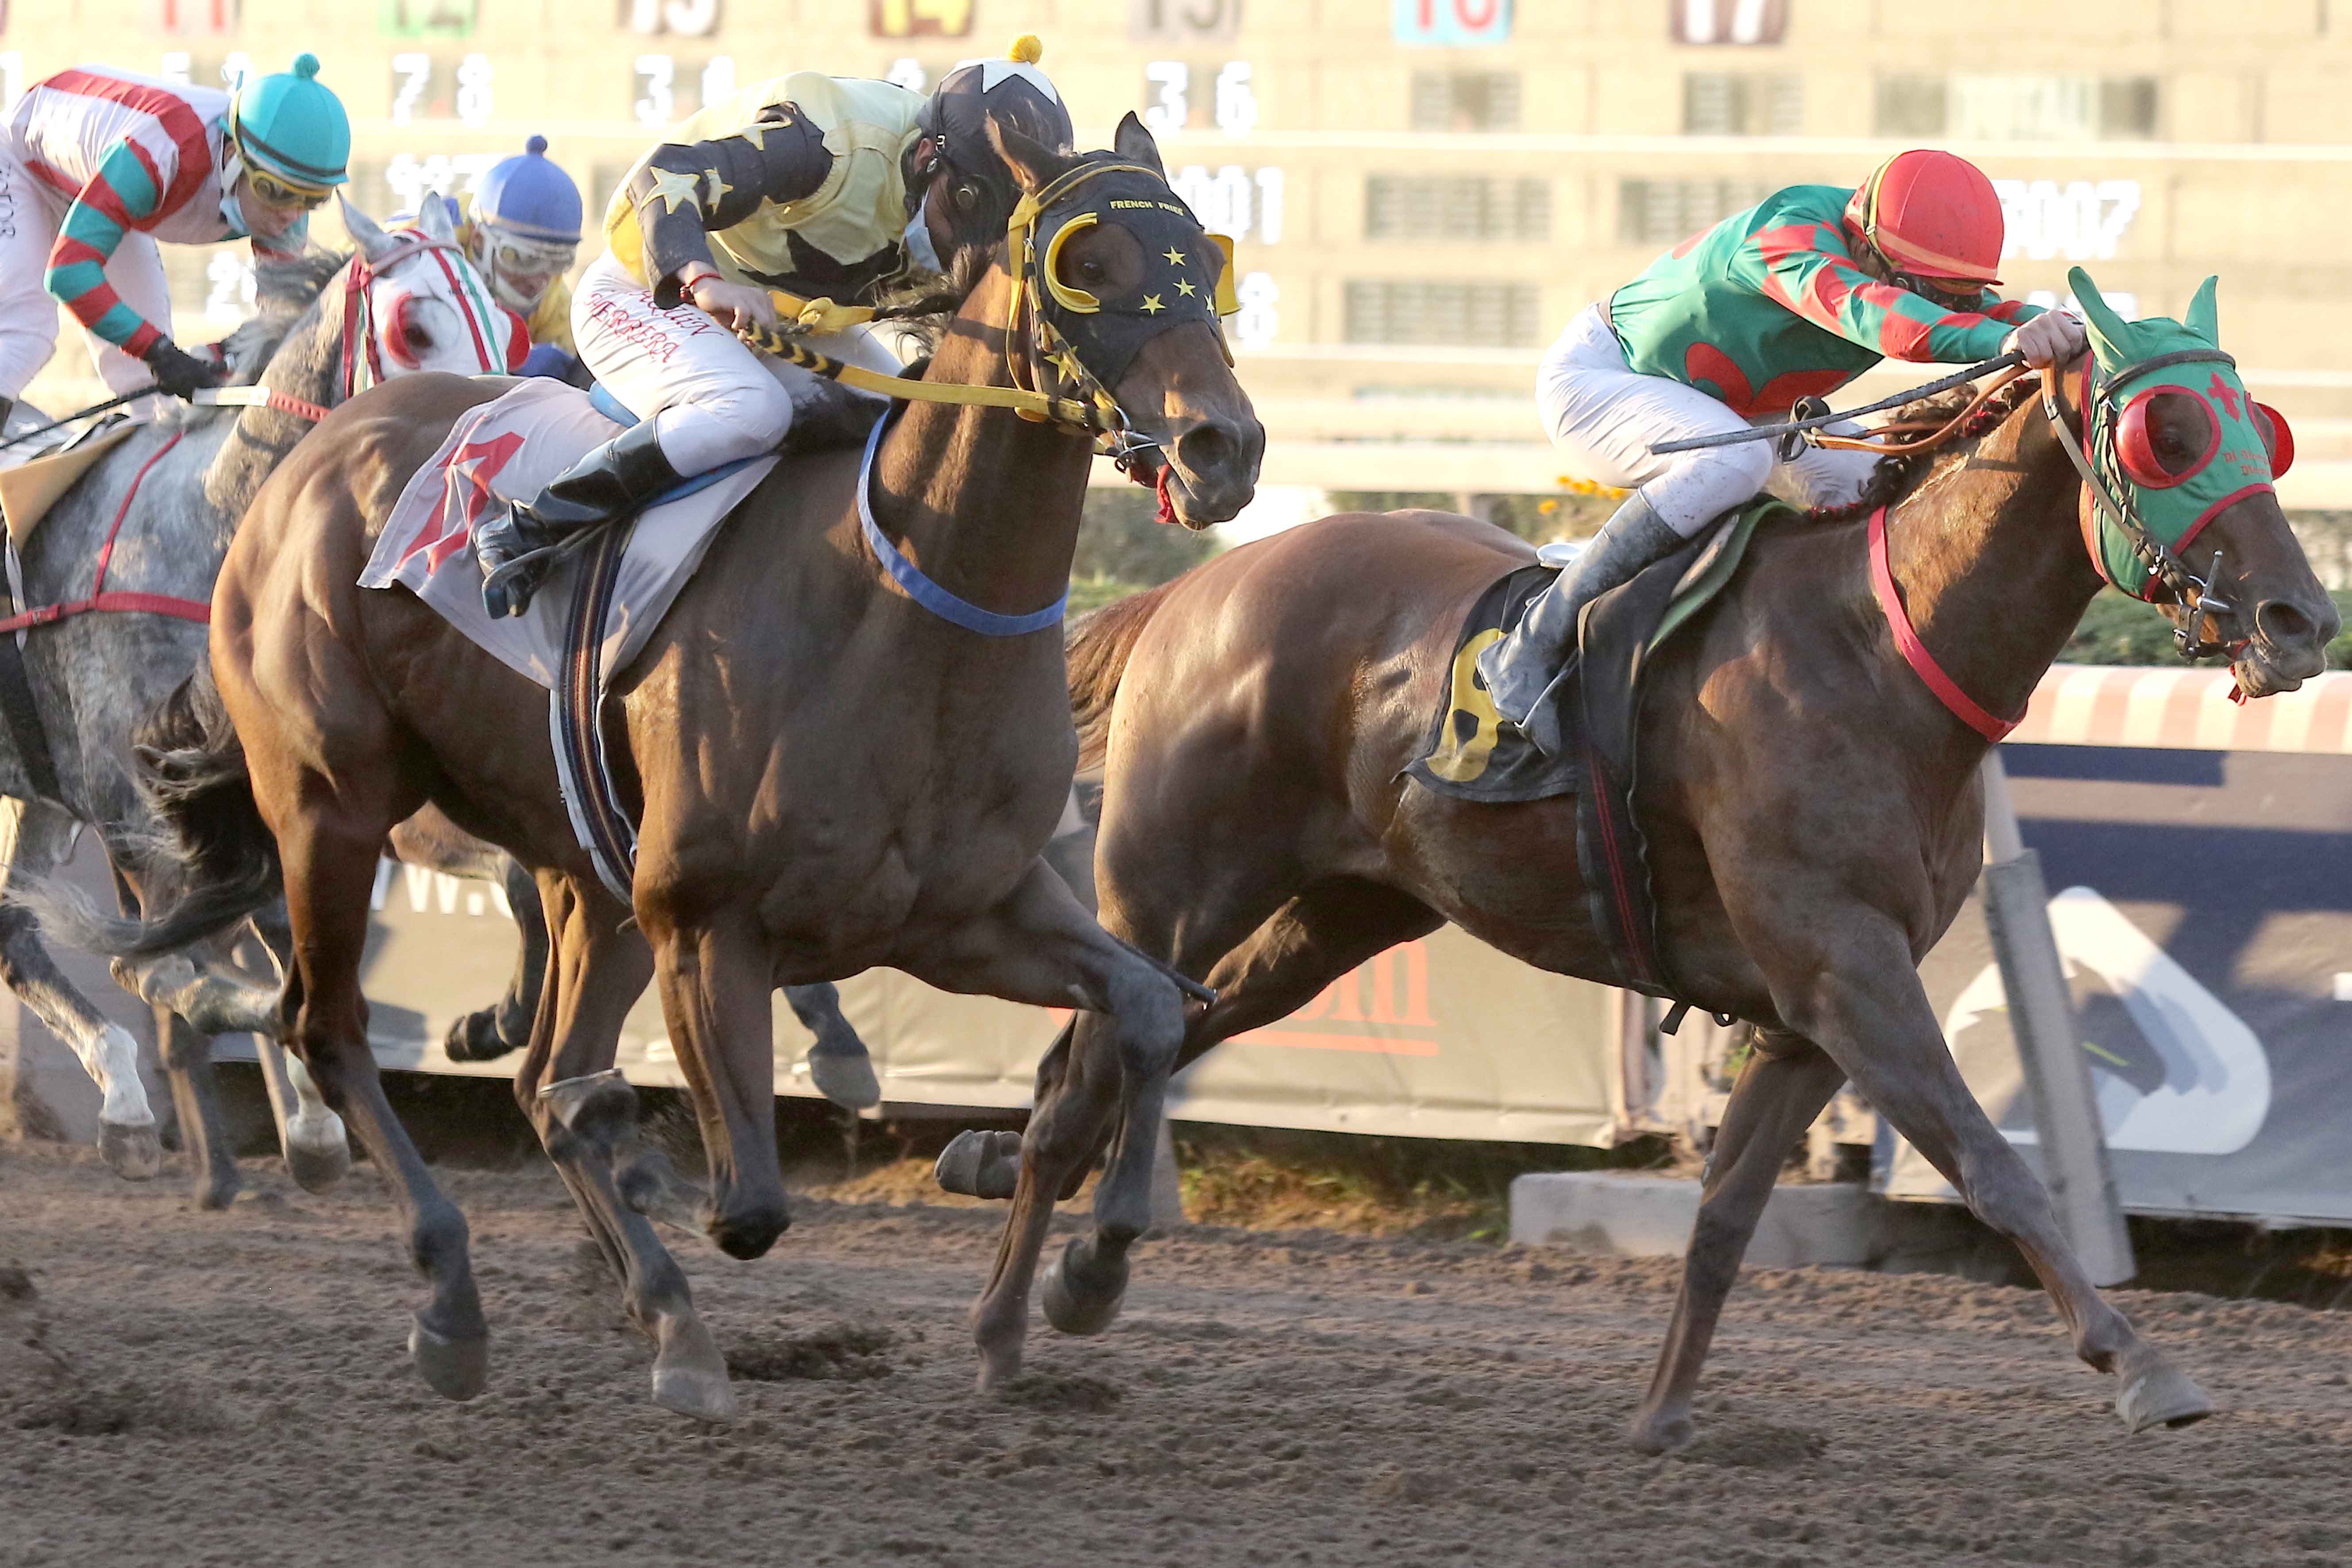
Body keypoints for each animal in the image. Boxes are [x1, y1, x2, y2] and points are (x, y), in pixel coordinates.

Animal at [0, 198, 523, 1206]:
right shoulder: (143, 824)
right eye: (415, 327)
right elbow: (194, 970)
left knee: (16, 922)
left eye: (507, 321)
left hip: (45, 792)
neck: (206, 536)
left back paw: (127, 1109)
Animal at [88, 114, 1261, 1417]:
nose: (1225, 443)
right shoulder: (700, 919)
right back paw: (456, 1299)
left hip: (581, 872)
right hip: (330, 806)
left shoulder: (971, 911)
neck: (901, 606)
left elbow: (1150, 1006)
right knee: (330, 1025)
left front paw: (1084, 1272)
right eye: (1085, 262)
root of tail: (303, 458)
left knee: (538, 1068)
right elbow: (743, 1202)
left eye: (1199, 254)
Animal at [939, 292, 2335, 1447]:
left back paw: (1034, 1245)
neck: (1877, 647)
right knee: (1098, 1063)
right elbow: (1997, 1167)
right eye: (2165, 431)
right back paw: (1025, 1313)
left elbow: (1723, 1219)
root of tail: (1192, 591)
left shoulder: (1805, 1014)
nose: (2302, 620)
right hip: (1173, 884)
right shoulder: (1847, 969)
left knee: (1135, 1043)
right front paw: (2143, 1364)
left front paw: (1665, 1415)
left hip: (1333, 917)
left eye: (2265, 433)